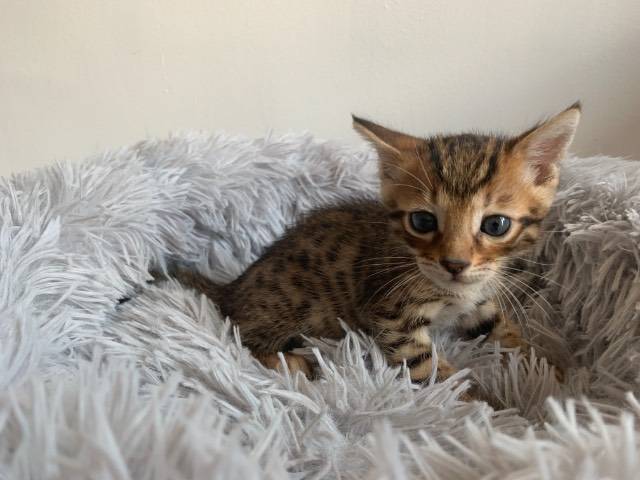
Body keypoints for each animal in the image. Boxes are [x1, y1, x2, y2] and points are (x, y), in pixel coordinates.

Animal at [163, 103, 580, 384]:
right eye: (423, 221)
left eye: (495, 224)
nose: (455, 264)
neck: (454, 292)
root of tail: (236, 285)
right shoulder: (393, 318)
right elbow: (436, 375)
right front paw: (488, 408)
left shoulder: (480, 303)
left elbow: (509, 334)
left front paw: (552, 374)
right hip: (290, 305)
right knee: (241, 334)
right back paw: (290, 361)